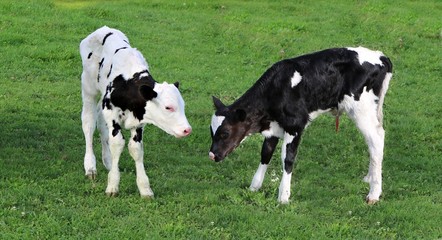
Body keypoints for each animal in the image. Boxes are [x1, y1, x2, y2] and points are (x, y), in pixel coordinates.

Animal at [81, 26, 192, 198]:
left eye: (183, 105)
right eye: (168, 107)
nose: (187, 130)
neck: (129, 83)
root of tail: (103, 29)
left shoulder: (139, 122)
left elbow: (136, 149)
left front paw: (145, 189)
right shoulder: (112, 114)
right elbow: (117, 144)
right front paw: (112, 186)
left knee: (100, 122)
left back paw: (107, 161)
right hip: (88, 88)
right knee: (89, 124)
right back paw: (90, 166)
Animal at [209, 46, 392, 204]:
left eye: (225, 133)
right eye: (212, 132)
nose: (212, 155)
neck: (277, 88)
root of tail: (380, 56)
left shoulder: (295, 126)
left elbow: (288, 159)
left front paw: (283, 196)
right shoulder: (274, 127)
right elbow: (266, 153)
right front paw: (254, 186)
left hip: (362, 110)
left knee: (376, 140)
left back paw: (373, 193)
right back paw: (369, 178)